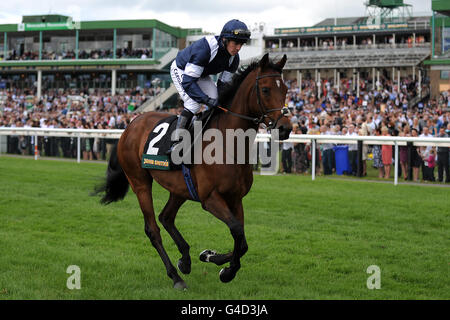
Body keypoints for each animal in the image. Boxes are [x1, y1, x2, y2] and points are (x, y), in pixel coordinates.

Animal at [95, 53, 292, 290]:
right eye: (265, 89)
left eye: (286, 89)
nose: (285, 128)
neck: (228, 143)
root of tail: (131, 124)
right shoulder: (211, 199)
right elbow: (237, 230)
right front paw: (227, 271)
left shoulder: (235, 198)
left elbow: (242, 240)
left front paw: (211, 257)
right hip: (139, 182)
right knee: (153, 229)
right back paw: (176, 276)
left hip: (180, 188)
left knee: (166, 217)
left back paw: (185, 259)